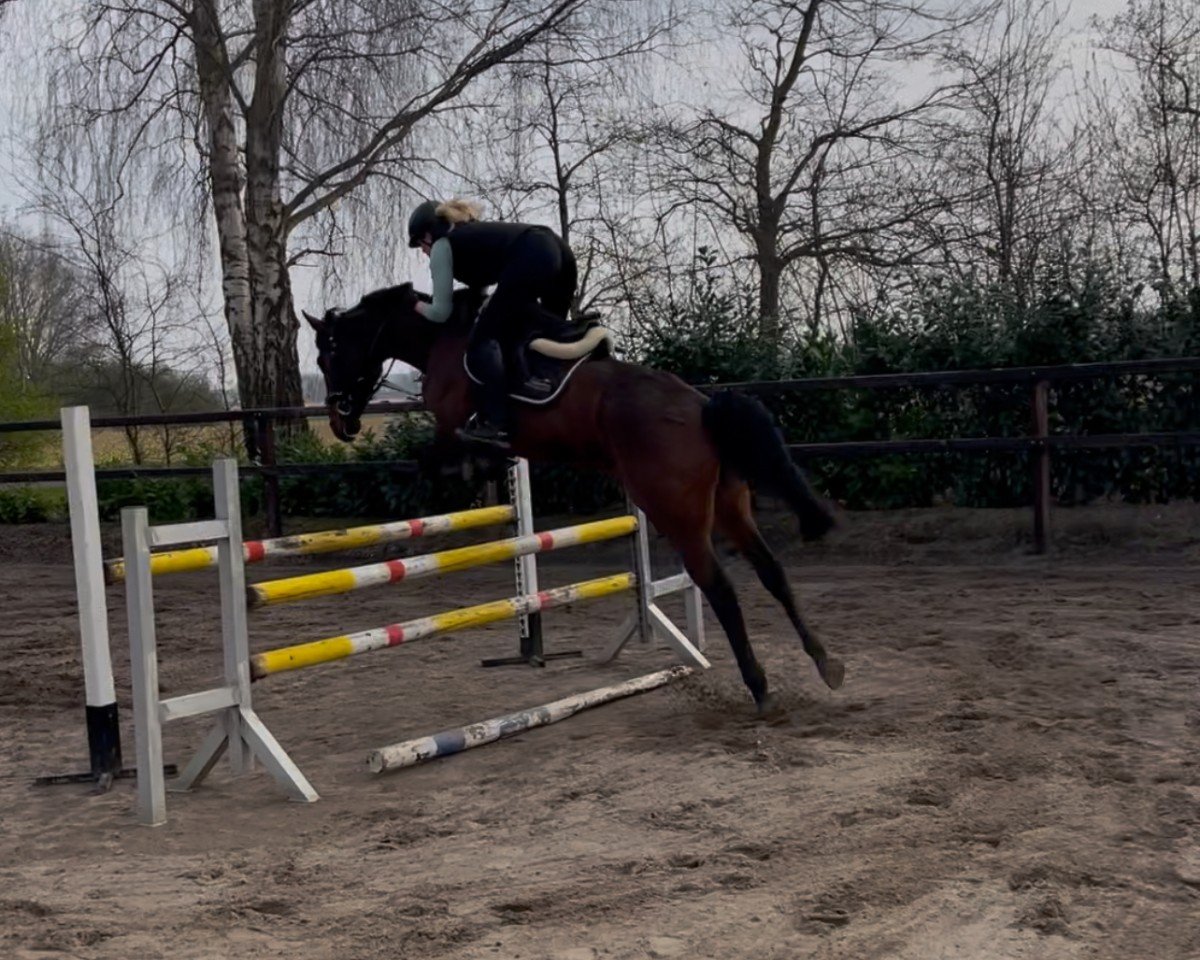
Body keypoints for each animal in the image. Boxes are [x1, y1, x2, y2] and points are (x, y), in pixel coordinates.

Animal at [304, 283, 845, 713]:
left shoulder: (454, 427)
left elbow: (431, 460)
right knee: (771, 570)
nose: (339, 421)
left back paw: (760, 687)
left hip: (676, 513)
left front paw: (464, 472)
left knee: (721, 587)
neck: (445, 339)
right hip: (729, 506)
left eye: (328, 356)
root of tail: (704, 407)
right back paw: (826, 662)